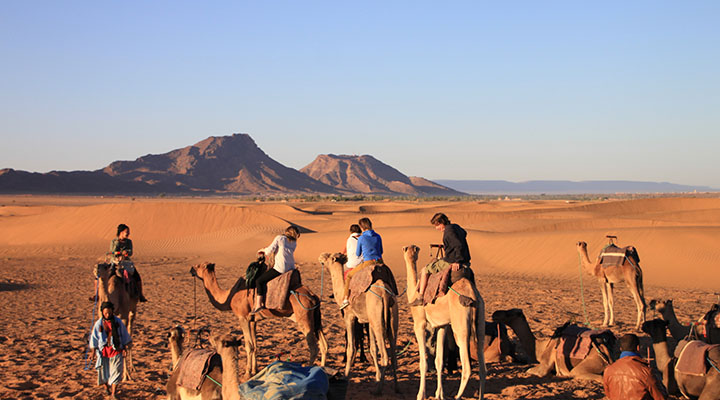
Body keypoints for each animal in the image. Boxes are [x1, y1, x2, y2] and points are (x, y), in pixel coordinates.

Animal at [188, 262, 330, 378]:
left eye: (199, 266)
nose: (191, 269)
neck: (230, 296)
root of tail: (313, 297)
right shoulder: (252, 320)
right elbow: (255, 345)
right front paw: (254, 370)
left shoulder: (243, 317)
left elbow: (248, 346)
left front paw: (247, 373)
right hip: (316, 319)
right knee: (324, 345)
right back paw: (323, 370)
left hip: (304, 319)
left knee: (313, 347)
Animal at [320, 253, 400, 394]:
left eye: (328, 257)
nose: (321, 256)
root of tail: (385, 294)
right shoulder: (368, 321)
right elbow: (373, 348)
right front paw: (377, 375)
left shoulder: (349, 316)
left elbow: (351, 347)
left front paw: (345, 376)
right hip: (390, 316)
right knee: (393, 354)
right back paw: (396, 388)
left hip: (377, 318)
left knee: (385, 356)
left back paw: (378, 390)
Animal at [402, 244, 486, 400]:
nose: (411, 249)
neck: (414, 292)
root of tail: (473, 294)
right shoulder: (442, 325)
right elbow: (439, 361)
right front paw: (439, 394)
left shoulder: (419, 323)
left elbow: (423, 362)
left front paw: (420, 394)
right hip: (480, 320)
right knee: (483, 368)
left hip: (460, 326)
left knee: (467, 367)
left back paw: (457, 396)